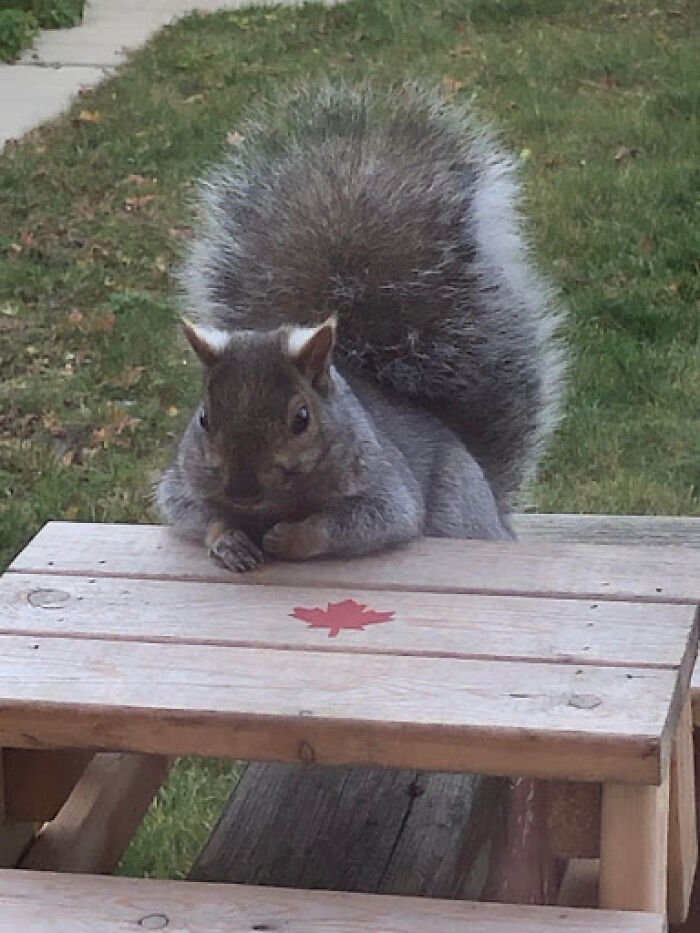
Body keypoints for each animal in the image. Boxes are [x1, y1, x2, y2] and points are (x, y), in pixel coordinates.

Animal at [156, 85, 568, 568]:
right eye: (203, 417)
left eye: (301, 418)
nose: (242, 489)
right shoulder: (182, 482)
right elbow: (191, 511)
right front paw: (229, 539)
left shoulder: (385, 485)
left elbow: (370, 521)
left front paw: (290, 537)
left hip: (459, 507)